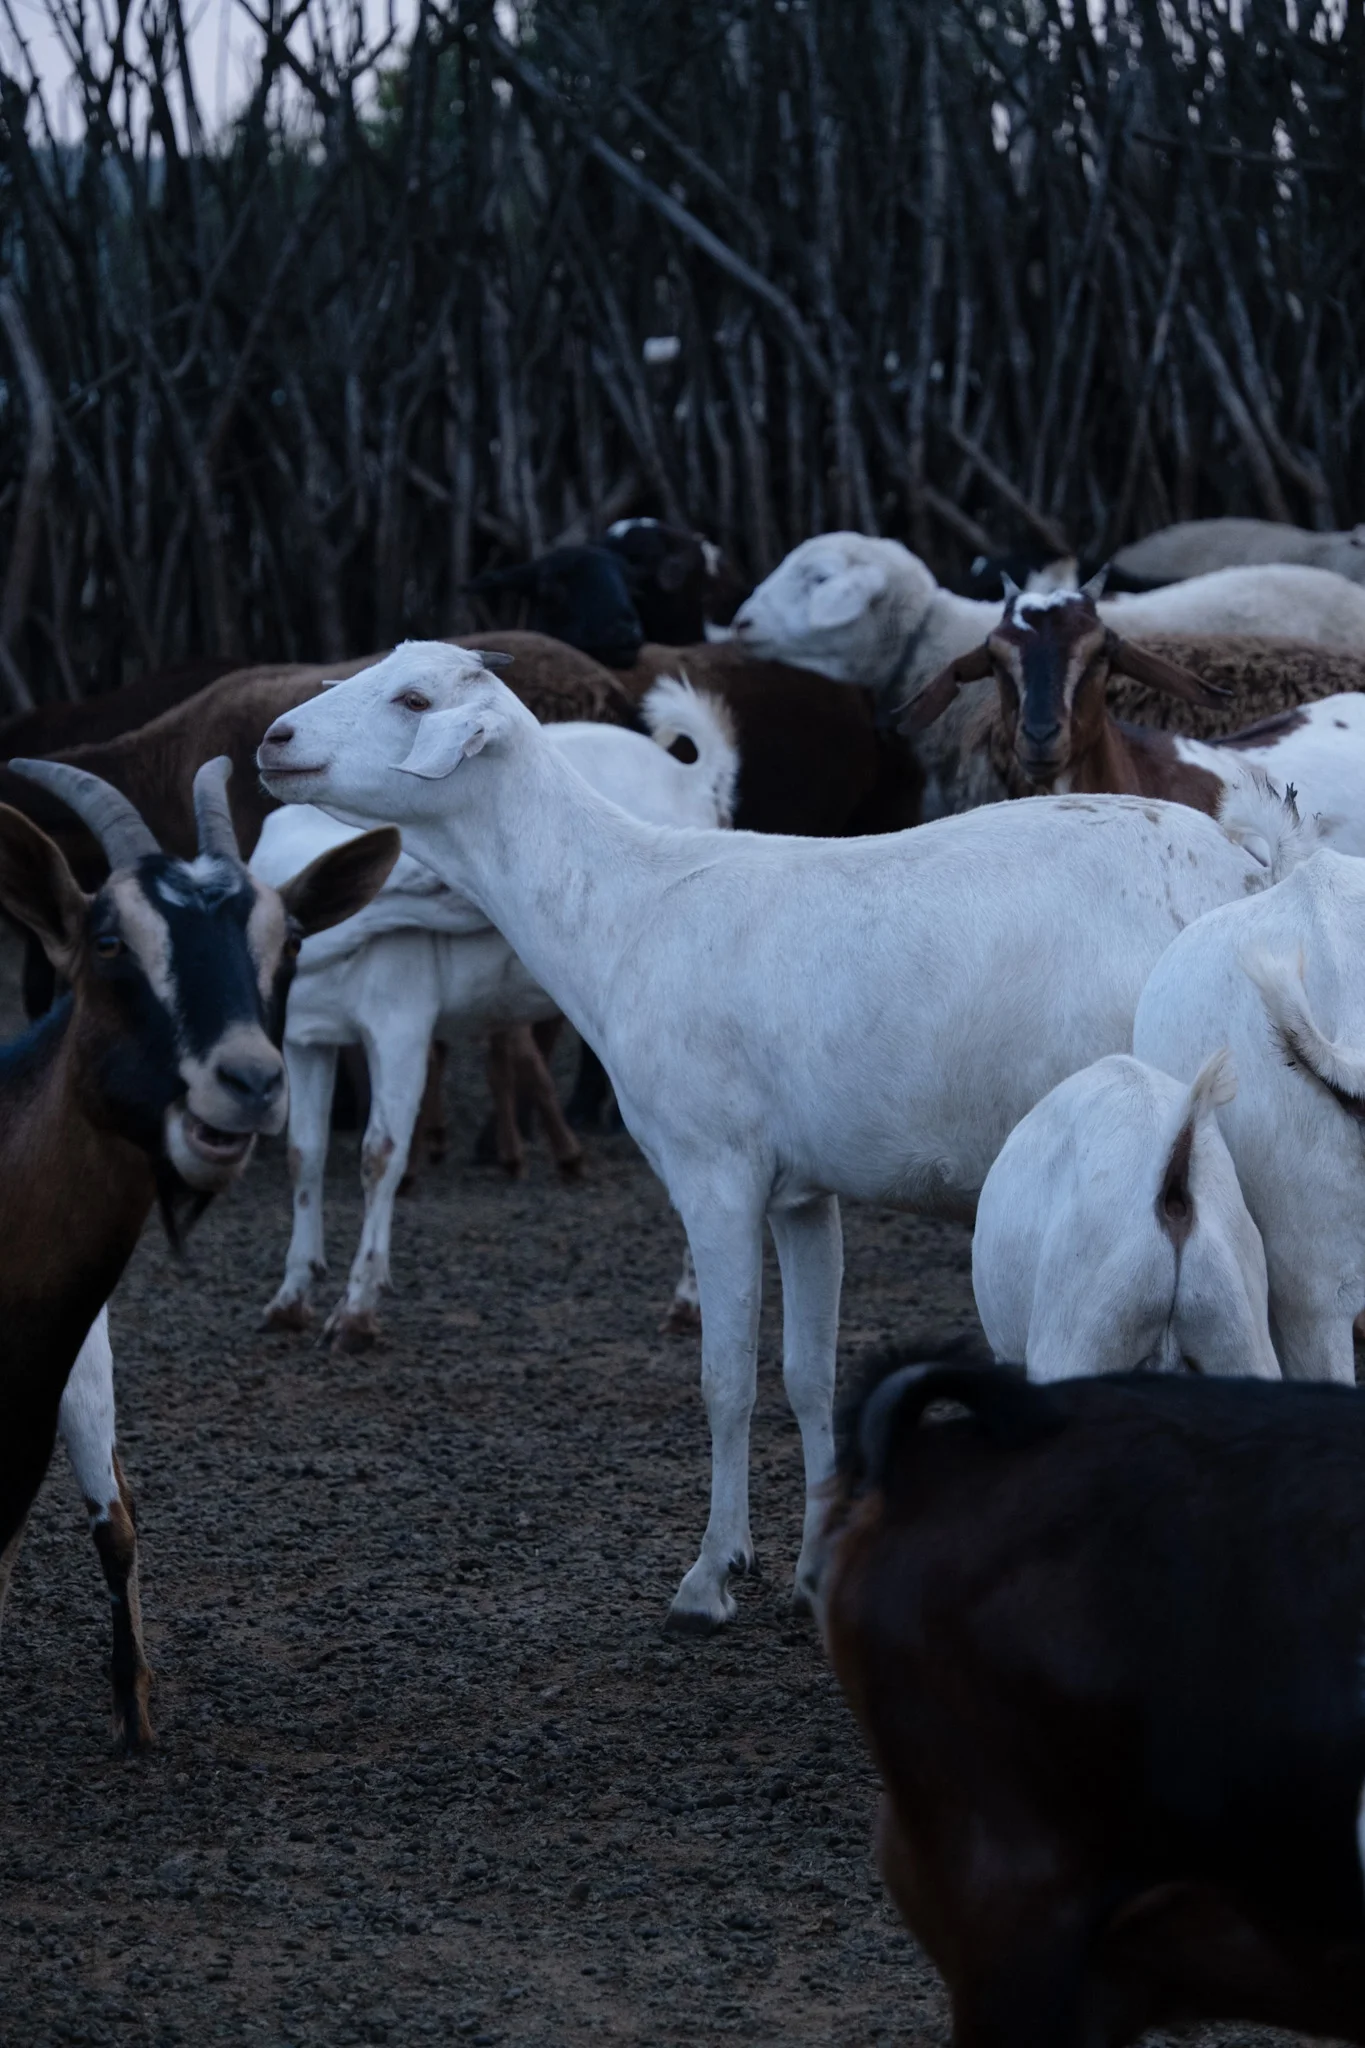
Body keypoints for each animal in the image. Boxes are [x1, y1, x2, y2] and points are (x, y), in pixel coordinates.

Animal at [251, 678, 739, 1350]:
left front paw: (355, 1310)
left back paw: (688, 1301)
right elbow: (305, 1154)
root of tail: (690, 777)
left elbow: (379, 1154)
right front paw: (290, 1296)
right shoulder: (307, 1038)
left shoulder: (400, 1024)